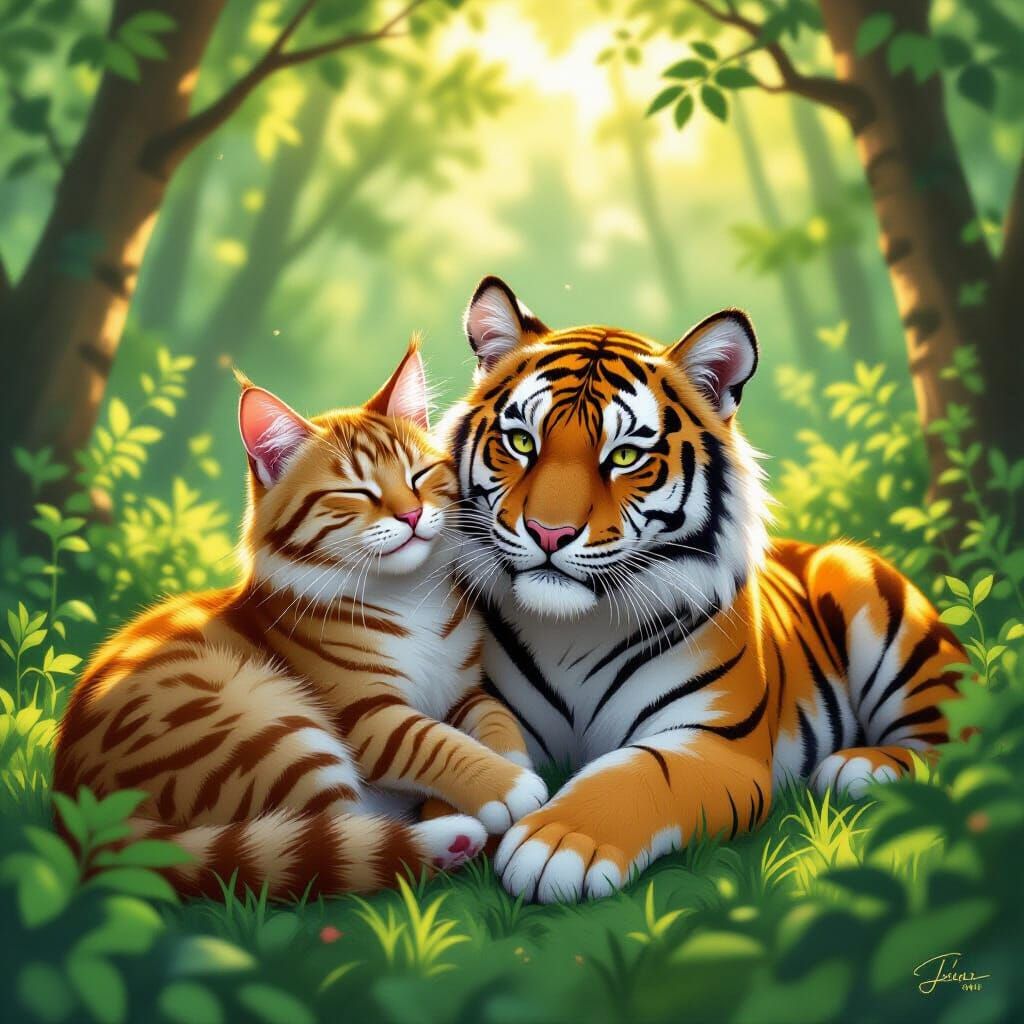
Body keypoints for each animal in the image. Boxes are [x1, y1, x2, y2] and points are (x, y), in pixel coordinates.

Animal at [54, 338, 546, 900]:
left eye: (420, 476)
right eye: (357, 492)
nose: (412, 515)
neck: (409, 596)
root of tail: (81, 812)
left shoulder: (464, 691)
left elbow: (497, 715)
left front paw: (514, 761)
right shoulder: (369, 716)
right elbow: (438, 743)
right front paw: (511, 787)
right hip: (269, 728)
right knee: (331, 840)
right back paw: (452, 836)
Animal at [442, 275, 965, 903]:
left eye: (624, 456)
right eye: (521, 442)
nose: (549, 533)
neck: (572, 628)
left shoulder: (713, 742)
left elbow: (636, 773)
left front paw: (557, 843)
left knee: (957, 744)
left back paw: (860, 767)